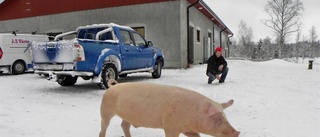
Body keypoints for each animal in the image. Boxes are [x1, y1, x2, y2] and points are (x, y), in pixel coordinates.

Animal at [99, 79, 239, 137]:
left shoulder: (187, 129)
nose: (237, 132)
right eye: (219, 119)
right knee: (104, 127)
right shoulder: (170, 126)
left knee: (124, 125)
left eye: (226, 117)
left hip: (127, 115)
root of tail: (112, 86)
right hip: (105, 110)